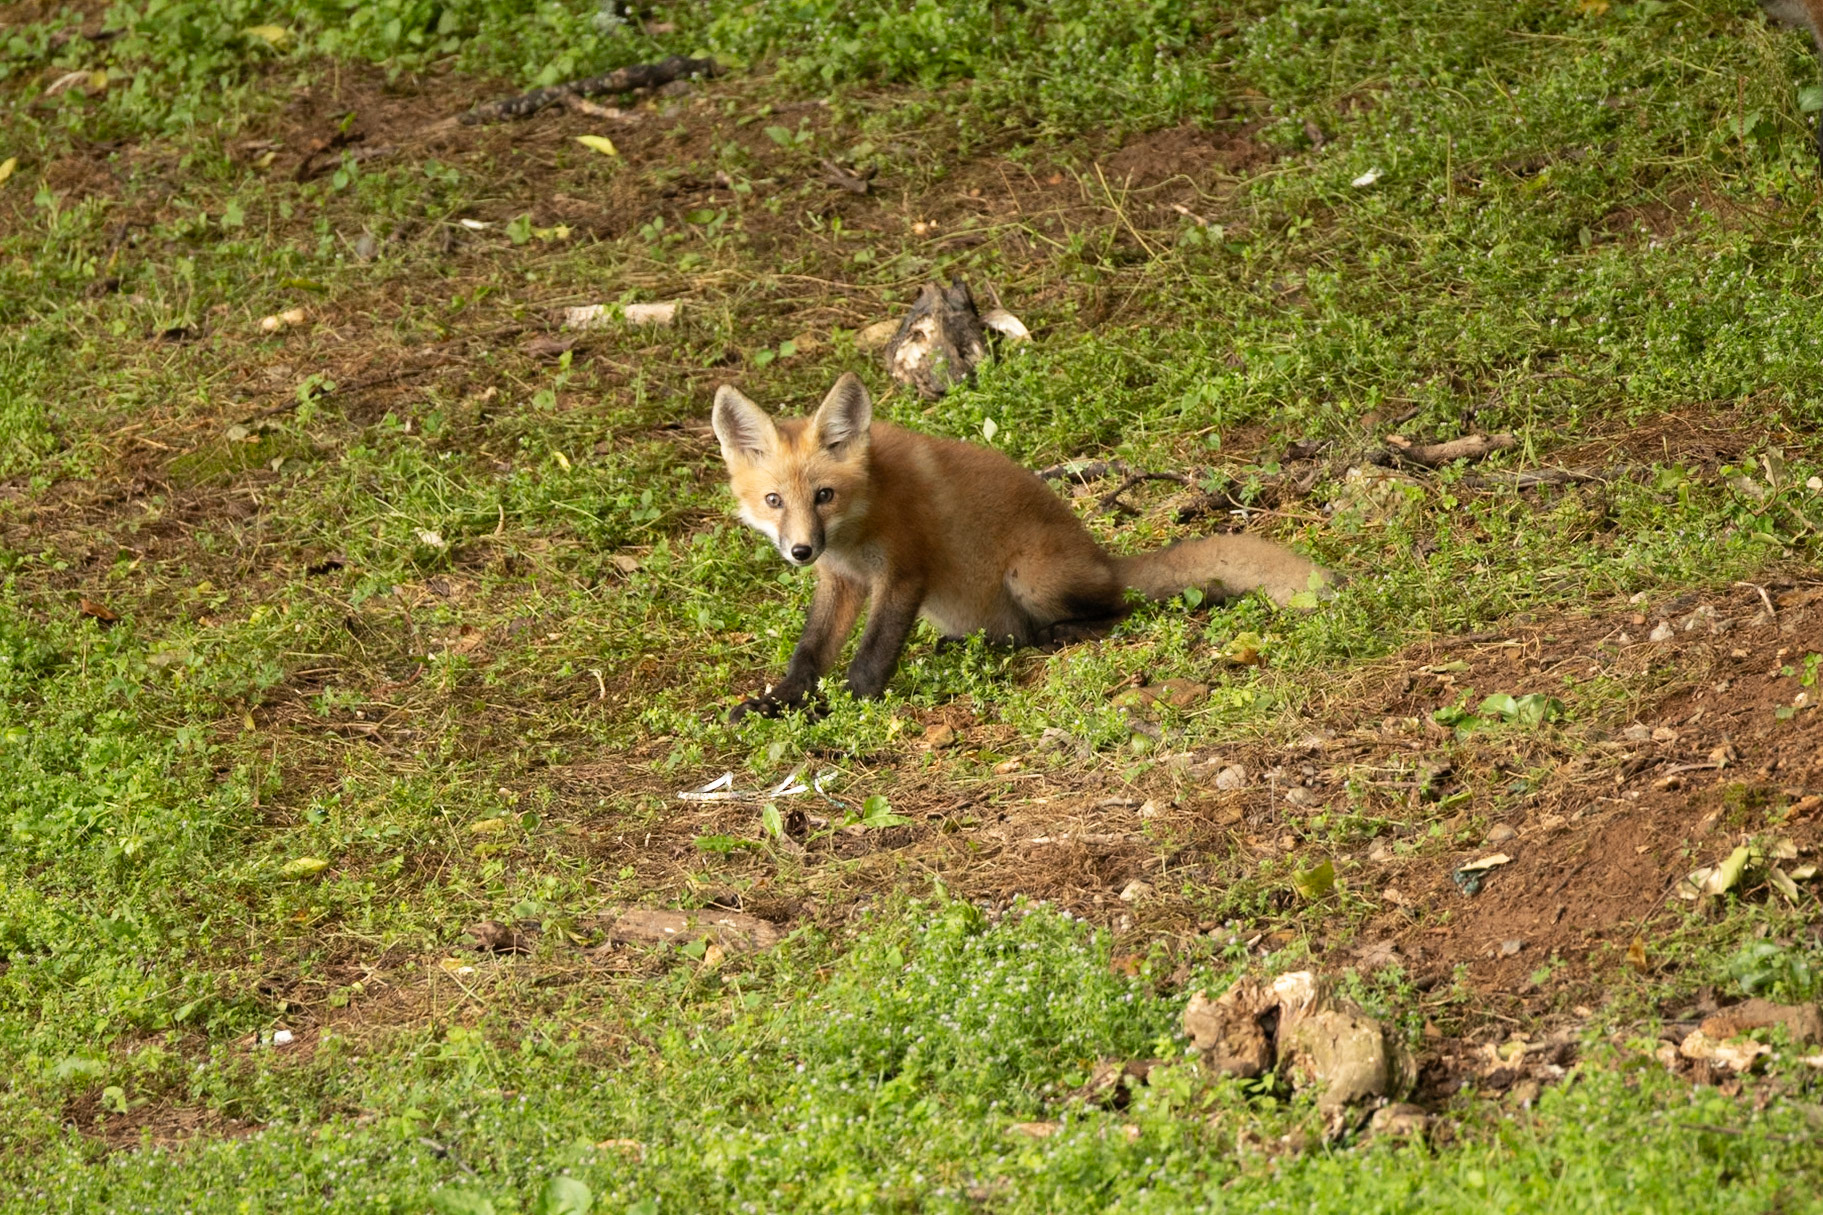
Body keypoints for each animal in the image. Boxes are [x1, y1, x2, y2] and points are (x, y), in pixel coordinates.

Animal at [710, 372, 1335, 721]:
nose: (800, 551)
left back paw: (1064, 633)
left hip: (1031, 578)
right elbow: (810, 653)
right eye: (773, 501)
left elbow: (870, 660)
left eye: (824, 495)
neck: (857, 528)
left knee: (1121, 610)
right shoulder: (839, 581)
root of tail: (1104, 559)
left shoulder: (903, 573)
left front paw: (835, 708)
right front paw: (779, 701)